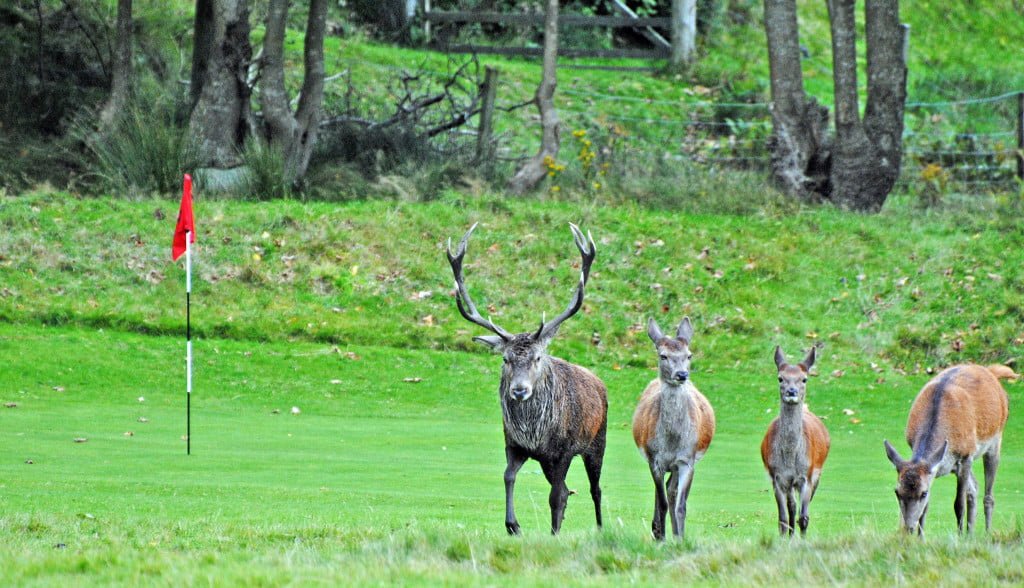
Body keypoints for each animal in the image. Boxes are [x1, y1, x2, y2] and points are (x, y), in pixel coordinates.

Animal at [446, 222, 608, 536]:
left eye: (538, 358)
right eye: (505, 359)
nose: (519, 390)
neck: (535, 433)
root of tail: (599, 383)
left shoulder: (564, 450)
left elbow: (555, 496)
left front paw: (551, 533)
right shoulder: (514, 444)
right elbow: (508, 476)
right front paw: (513, 525)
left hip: (597, 442)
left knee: (594, 489)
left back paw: (598, 527)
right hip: (549, 461)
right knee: (568, 490)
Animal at [632, 317, 715, 541]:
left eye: (689, 355)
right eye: (663, 355)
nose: (681, 374)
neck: (671, 442)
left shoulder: (687, 459)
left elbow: (680, 505)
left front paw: (680, 538)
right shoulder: (654, 459)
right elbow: (661, 502)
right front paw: (661, 537)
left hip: (678, 464)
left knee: (671, 490)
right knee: (661, 492)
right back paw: (657, 530)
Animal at [760, 346, 830, 537]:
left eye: (804, 378)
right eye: (780, 378)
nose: (792, 392)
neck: (790, 458)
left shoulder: (807, 476)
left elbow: (804, 517)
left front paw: (803, 539)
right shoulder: (777, 477)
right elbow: (782, 518)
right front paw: (784, 538)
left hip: (817, 474)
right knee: (791, 506)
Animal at [884, 363, 1016, 536]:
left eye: (923, 493)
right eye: (897, 491)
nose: (909, 528)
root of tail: (991, 372)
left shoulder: (966, 456)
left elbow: (958, 504)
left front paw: (958, 537)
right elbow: (926, 508)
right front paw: (921, 538)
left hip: (995, 439)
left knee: (988, 496)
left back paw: (987, 533)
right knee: (974, 488)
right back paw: (970, 534)